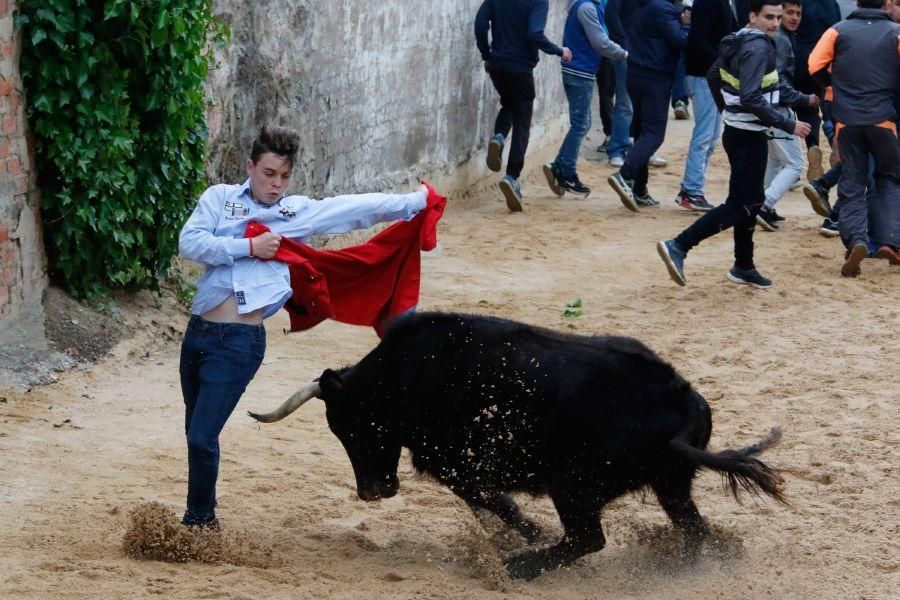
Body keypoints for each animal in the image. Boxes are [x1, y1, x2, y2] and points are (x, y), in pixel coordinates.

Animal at [250, 312, 784, 580]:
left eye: (354, 425)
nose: (371, 492)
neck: (406, 375)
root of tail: (684, 398)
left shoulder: (454, 463)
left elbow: (490, 500)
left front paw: (524, 535)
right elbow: (485, 503)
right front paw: (514, 535)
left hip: (575, 486)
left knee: (587, 538)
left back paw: (520, 567)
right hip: (670, 484)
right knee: (692, 529)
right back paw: (677, 570)